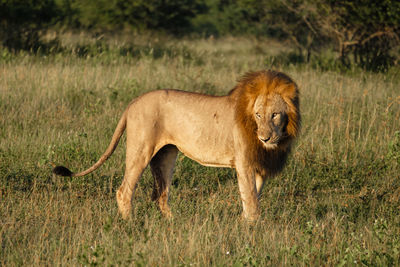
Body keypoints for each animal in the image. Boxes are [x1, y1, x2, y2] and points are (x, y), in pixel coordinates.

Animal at [54, 69, 302, 222]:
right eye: (258, 115)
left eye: (275, 115)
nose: (264, 138)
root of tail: (134, 101)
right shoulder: (244, 163)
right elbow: (251, 199)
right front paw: (253, 228)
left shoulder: (258, 166)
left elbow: (253, 196)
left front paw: (246, 223)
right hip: (141, 150)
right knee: (124, 190)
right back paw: (130, 223)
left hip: (165, 156)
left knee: (161, 194)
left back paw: (173, 222)